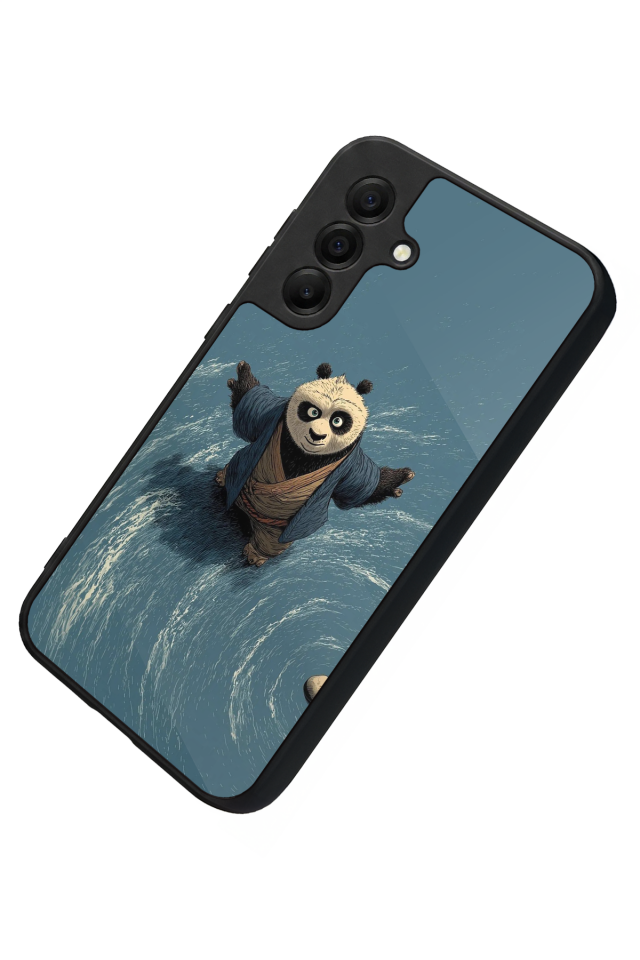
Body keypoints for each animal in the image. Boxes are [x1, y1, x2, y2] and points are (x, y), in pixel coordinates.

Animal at [216, 361, 415, 566]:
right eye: (313, 412)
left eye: (337, 421)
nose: (316, 435)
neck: (305, 455)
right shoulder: (275, 414)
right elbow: (250, 415)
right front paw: (243, 377)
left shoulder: (350, 464)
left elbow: (358, 487)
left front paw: (397, 480)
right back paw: (224, 477)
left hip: (274, 531)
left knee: (270, 542)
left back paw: (256, 554)